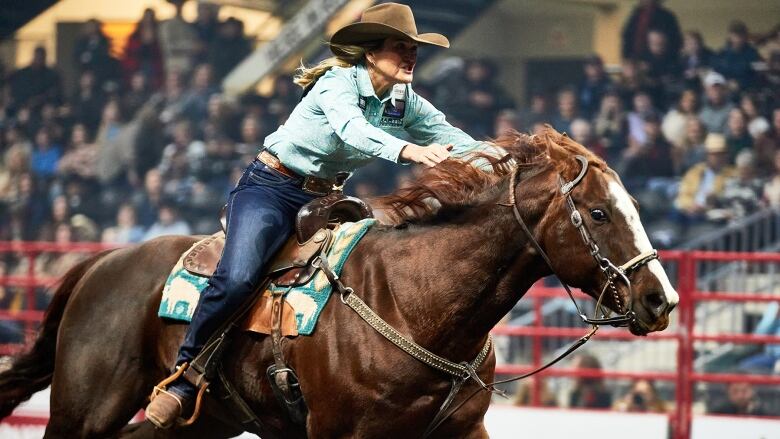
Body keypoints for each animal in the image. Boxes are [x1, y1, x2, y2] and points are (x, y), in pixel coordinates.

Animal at [0, 129, 676, 438]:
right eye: (598, 213)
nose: (661, 299)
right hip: (83, 411)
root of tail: (100, 264)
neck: (411, 301)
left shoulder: (463, 429)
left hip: (204, 418)